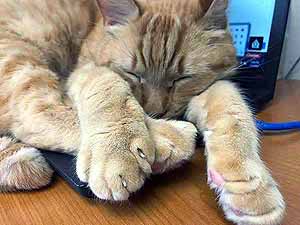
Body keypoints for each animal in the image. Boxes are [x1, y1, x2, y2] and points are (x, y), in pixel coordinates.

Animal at [0, 0, 286, 224]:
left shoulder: (214, 84)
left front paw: (247, 184)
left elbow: (234, 112)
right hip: (20, 57)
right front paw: (119, 149)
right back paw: (170, 138)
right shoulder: (84, 71)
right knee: (33, 113)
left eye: (181, 78)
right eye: (133, 73)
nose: (156, 111)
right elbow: (109, 87)